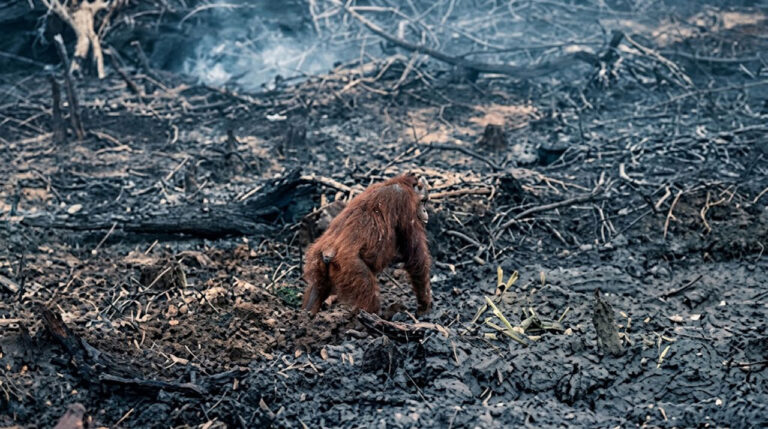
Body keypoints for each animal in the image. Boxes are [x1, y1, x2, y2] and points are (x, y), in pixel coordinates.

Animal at [301, 172, 432, 316]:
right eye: (423, 201)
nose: (425, 211)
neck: (399, 183)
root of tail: (327, 252)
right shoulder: (405, 202)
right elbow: (415, 254)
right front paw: (424, 303)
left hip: (317, 262)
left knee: (317, 289)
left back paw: (306, 314)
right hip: (350, 268)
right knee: (368, 294)